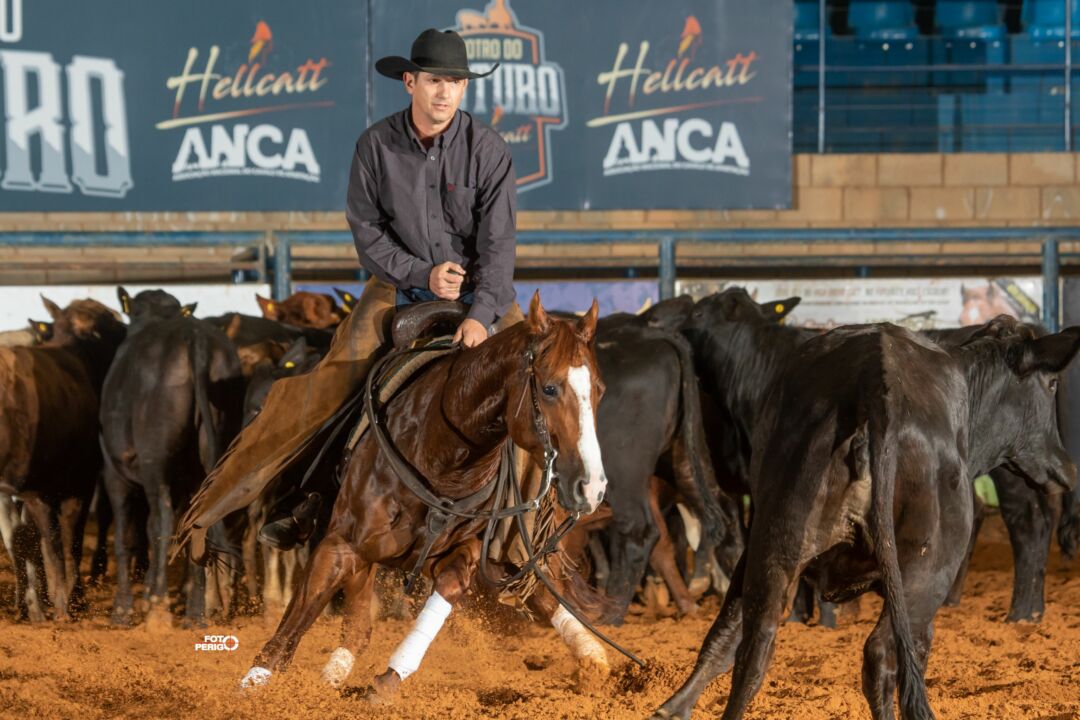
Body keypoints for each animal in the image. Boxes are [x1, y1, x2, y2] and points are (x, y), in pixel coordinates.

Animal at [100, 287, 244, 626]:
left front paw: (123, 608)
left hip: (155, 461)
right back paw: (196, 612)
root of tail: (195, 337)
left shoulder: (115, 472)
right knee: (198, 522)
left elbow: (128, 537)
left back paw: (159, 608)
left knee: (162, 522)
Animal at [234, 295, 609, 695]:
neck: (441, 458)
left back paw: (593, 656)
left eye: (599, 389)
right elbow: (296, 620)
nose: (591, 485)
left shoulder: (459, 551)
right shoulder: (341, 543)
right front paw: (253, 684)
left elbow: (447, 588)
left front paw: (390, 677)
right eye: (550, 389)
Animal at [656, 319, 1080, 720]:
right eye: (1052, 383)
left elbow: (724, 636)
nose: (1066, 469)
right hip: (926, 574)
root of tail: (877, 384)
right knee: (882, 655)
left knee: (754, 646)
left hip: (778, 542)